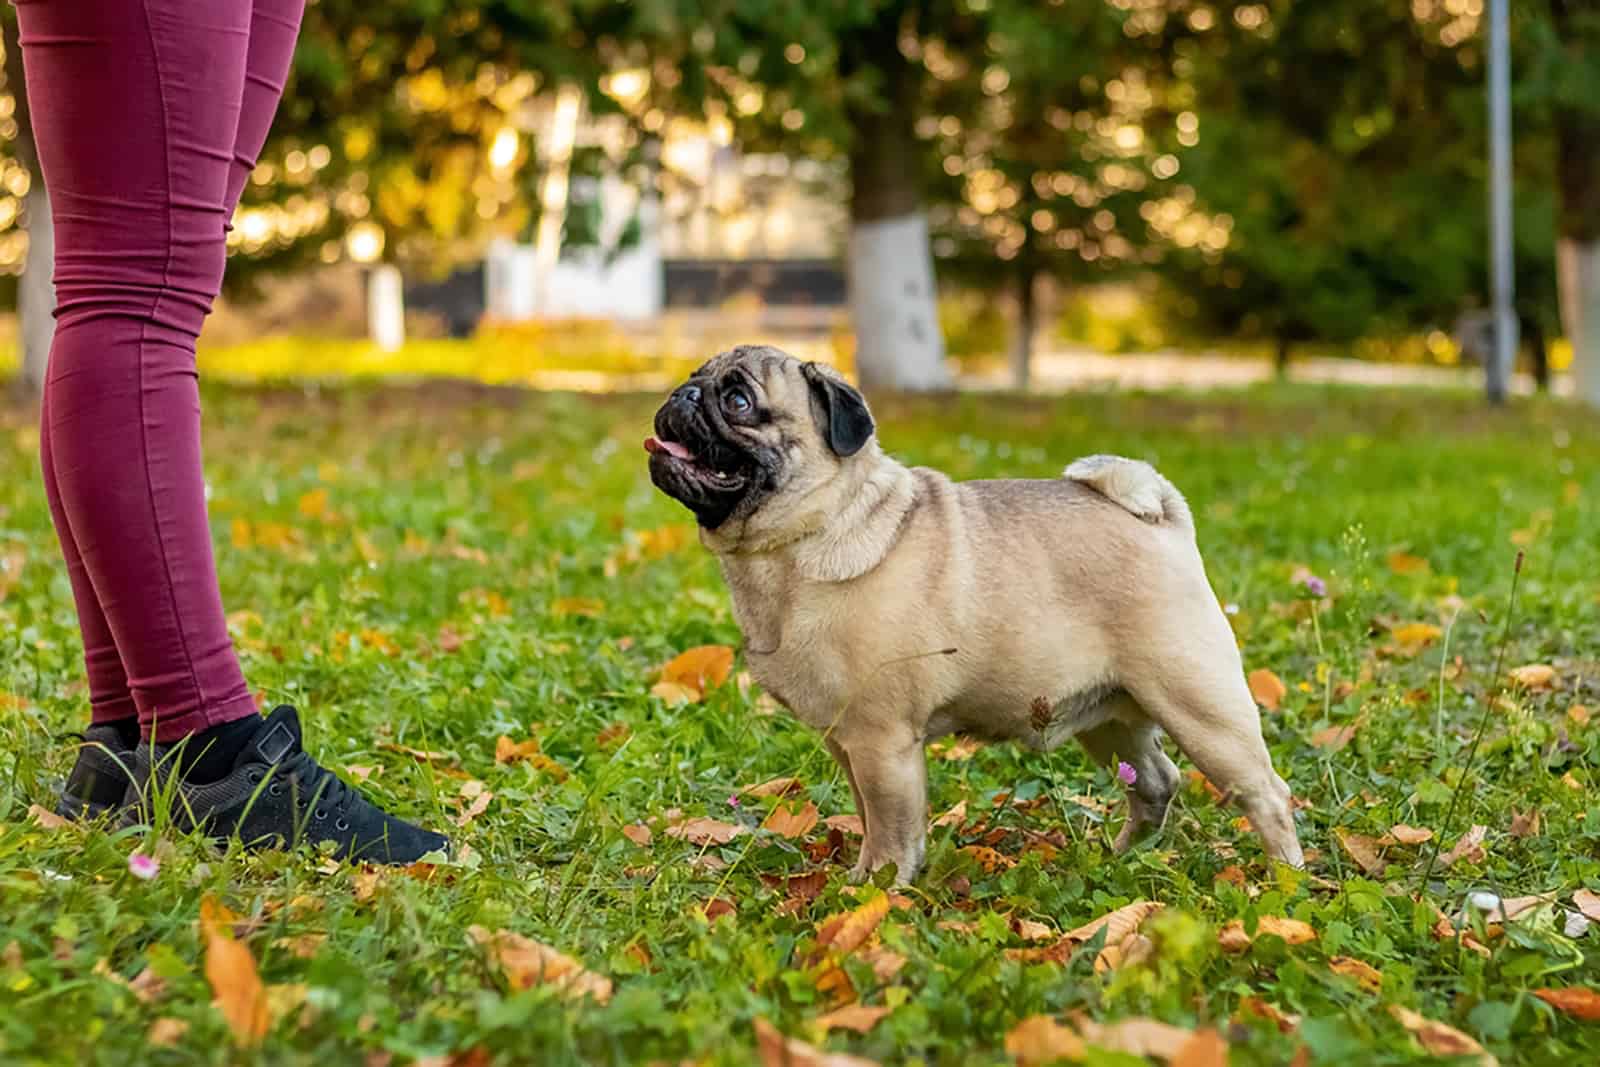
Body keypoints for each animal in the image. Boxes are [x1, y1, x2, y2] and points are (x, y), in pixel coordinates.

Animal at [646, 347, 1299, 883]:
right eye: (693, 380)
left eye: (738, 401)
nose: (683, 395)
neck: (807, 534)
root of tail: (1162, 519)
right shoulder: (849, 743)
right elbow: (870, 815)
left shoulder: (882, 742)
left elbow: (891, 829)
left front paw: (875, 892)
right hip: (1111, 716)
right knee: (1156, 781)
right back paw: (1123, 858)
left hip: (1198, 704)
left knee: (1267, 793)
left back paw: (1284, 883)